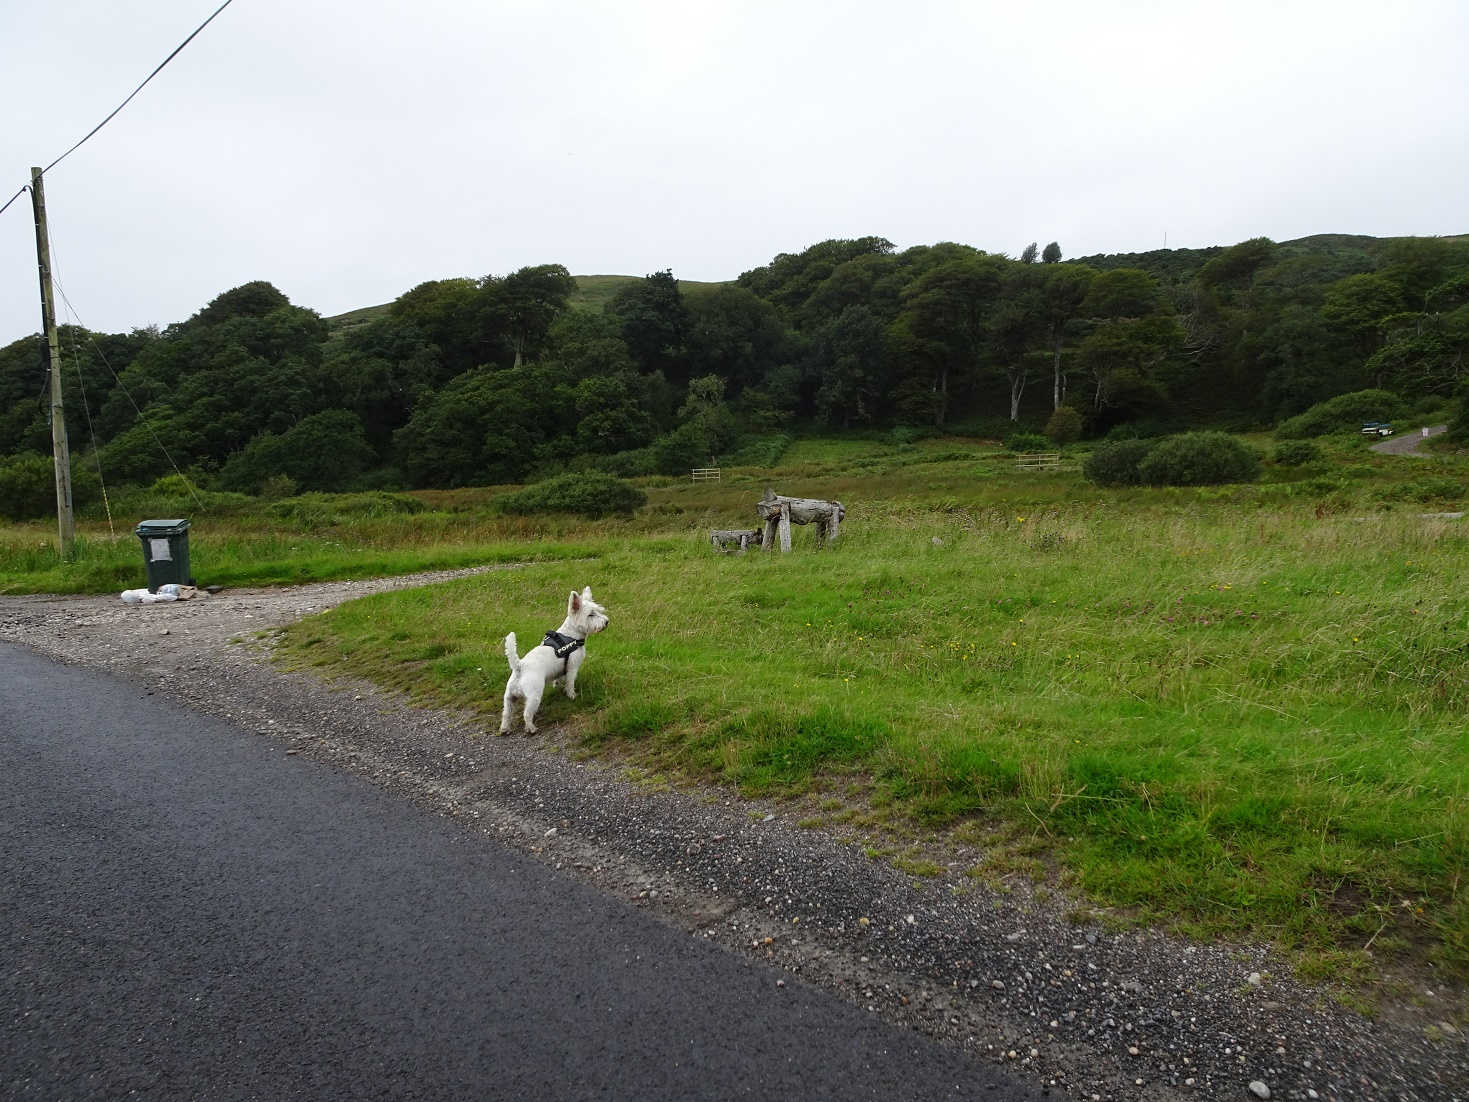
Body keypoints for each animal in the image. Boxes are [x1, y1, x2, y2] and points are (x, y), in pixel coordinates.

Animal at [496, 590, 605, 737]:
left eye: (598, 610)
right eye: (591, 614)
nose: (606, 621)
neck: (571, 635)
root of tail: (519, 668)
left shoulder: (561, 670)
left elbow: (558, 679)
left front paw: (557, 686)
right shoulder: (572, 667)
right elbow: (570, 683)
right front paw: (572, 695)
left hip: (509, 698)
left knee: (506, 714)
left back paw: (505, 729)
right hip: (534, 696)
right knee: (527, 714)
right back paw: (531, 728)